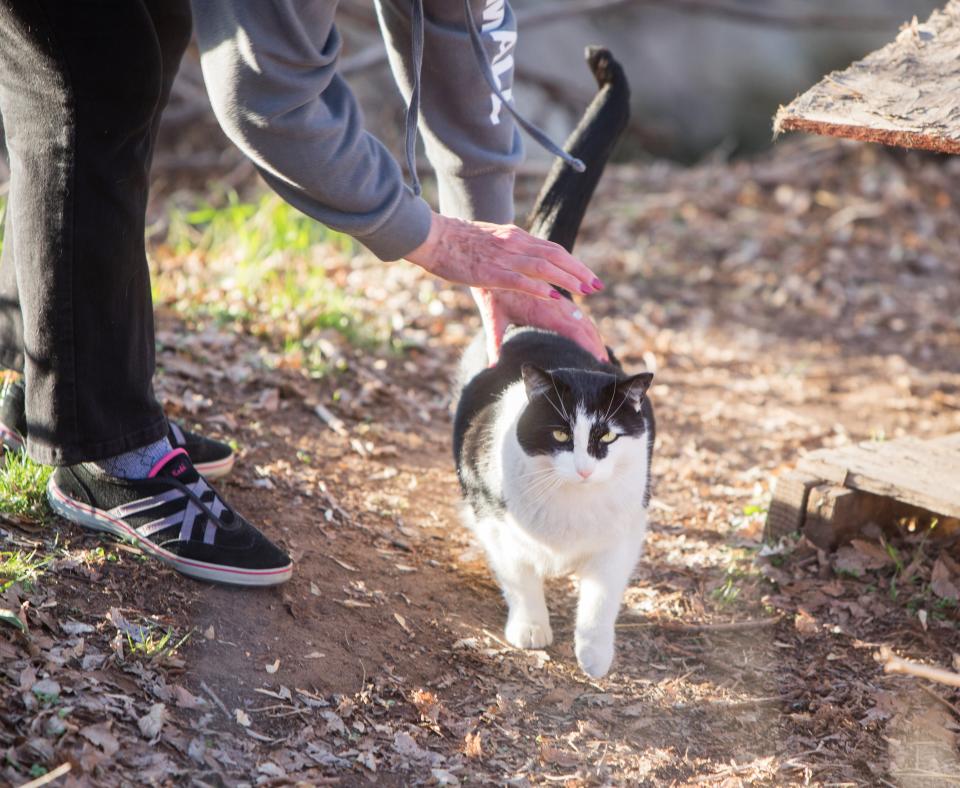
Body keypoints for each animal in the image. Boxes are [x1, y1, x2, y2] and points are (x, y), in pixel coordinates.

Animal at [452, 47, 652, 676]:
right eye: (561, 433)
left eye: (607, 438)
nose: (585, 468)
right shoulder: (492, 520)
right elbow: (520, 578)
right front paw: (532, 630)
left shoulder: (623, 537)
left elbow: (601, 598)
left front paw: (593, 655)